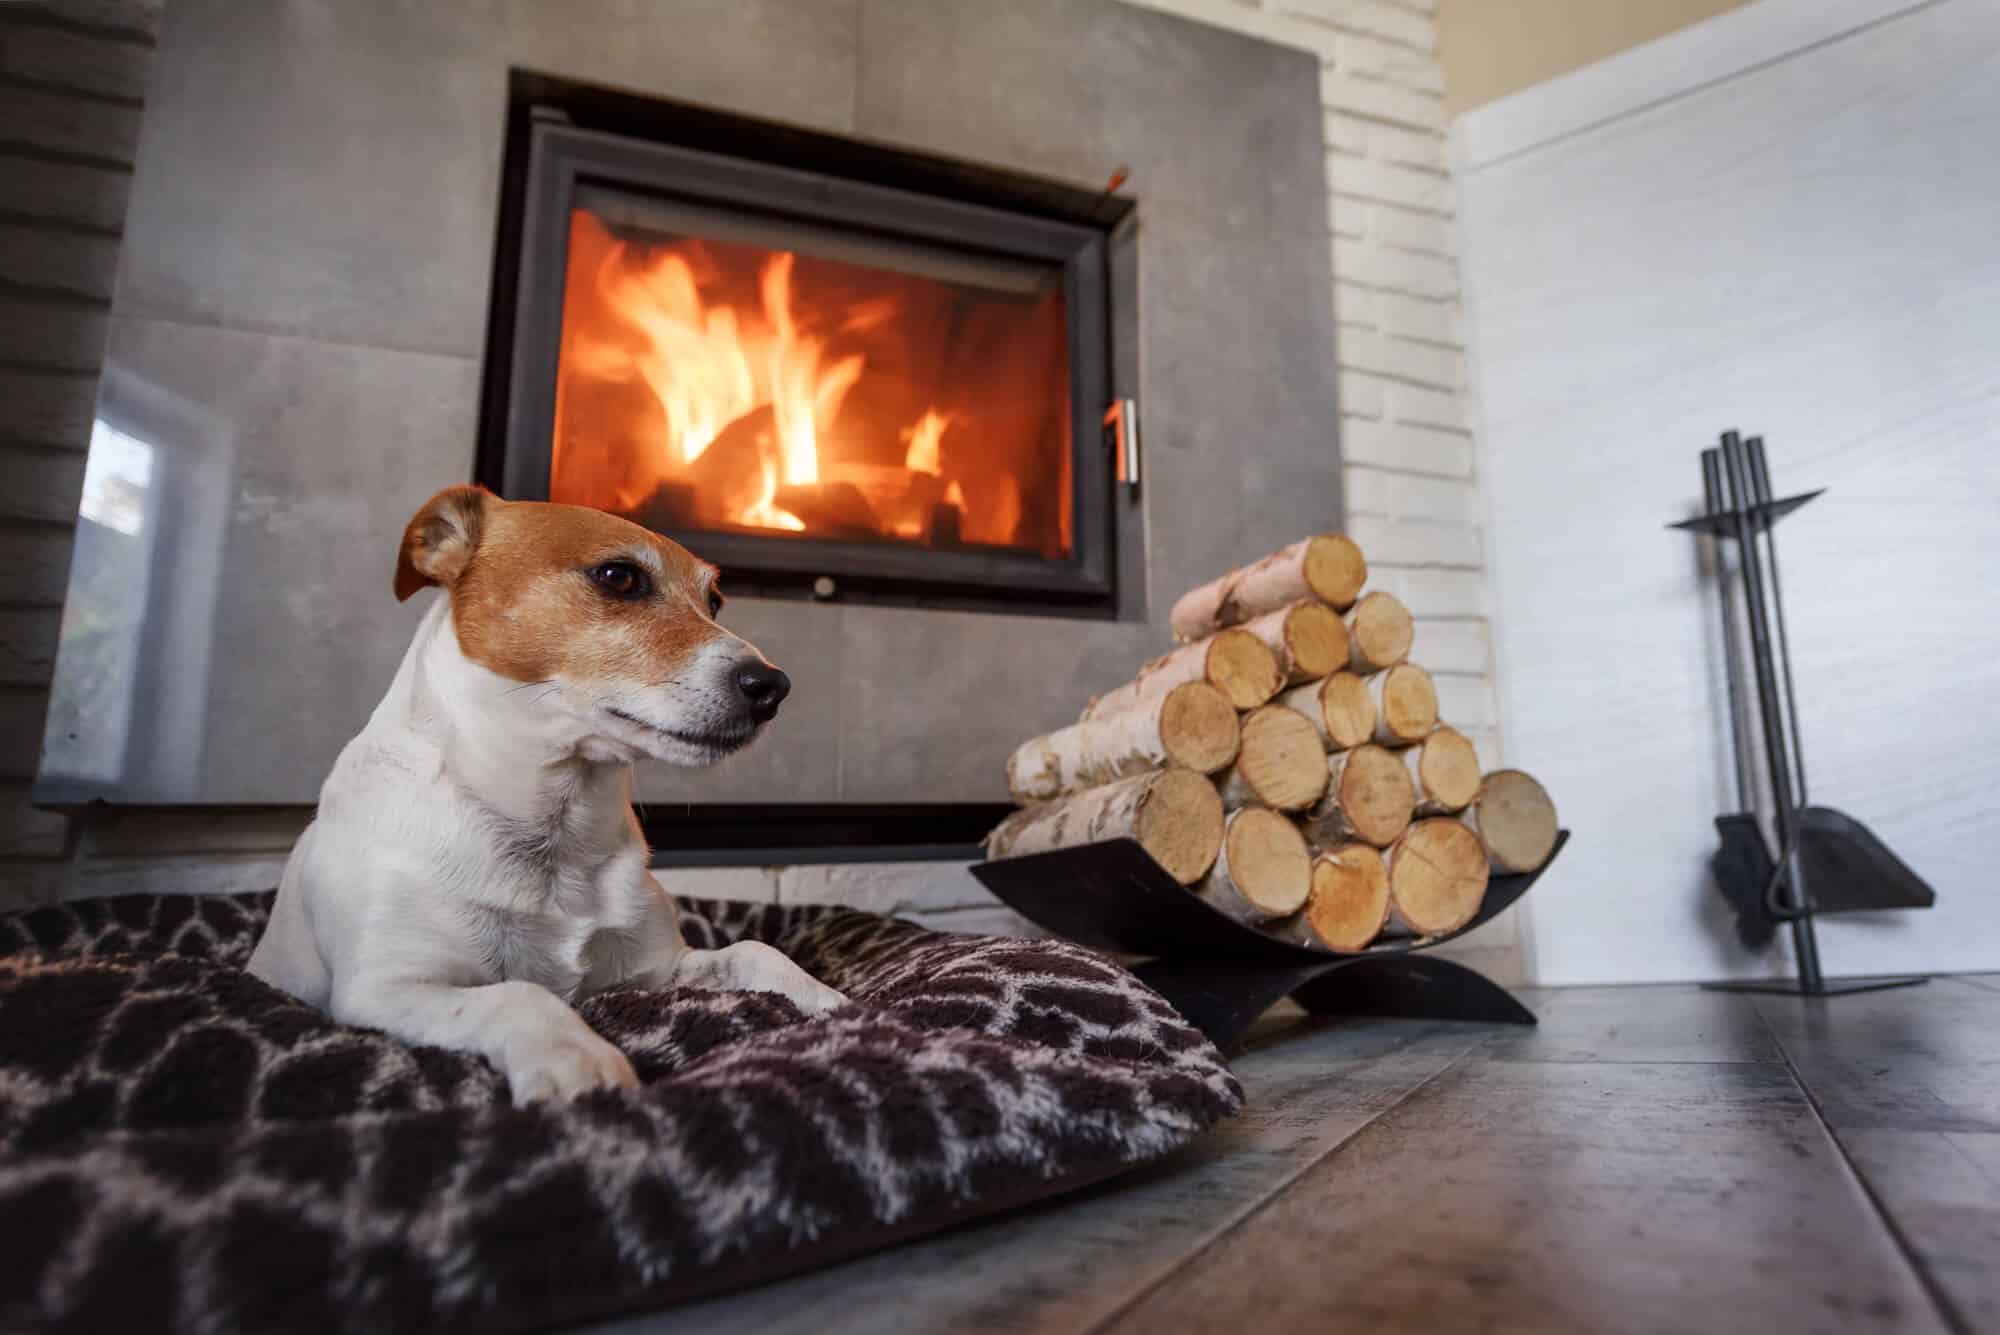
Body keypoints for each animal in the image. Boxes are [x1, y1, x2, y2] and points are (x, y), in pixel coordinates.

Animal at [250, 485, 844, 1103]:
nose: (773, 686)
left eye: (716, 602)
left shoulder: (656, 970)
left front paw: (834, 1003)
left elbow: (756, 952)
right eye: (619, 577)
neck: (555, 827)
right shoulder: (387, 988)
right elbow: (519, 993)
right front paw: (580, 1059)